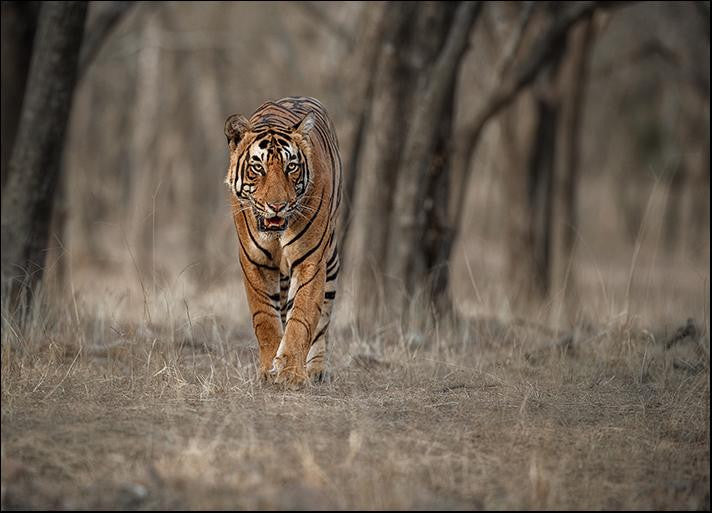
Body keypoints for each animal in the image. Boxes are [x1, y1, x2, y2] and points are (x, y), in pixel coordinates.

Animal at [224, 97, 342, 387]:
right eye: (258, 167)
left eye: (291, 167)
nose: (277, 206)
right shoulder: (254, 262)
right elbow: (265, 319)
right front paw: (269, 370)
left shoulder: (311, 261)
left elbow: (302, 318)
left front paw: (290, 372)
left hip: (331, 260)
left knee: (322, 318)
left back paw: (315, 369)